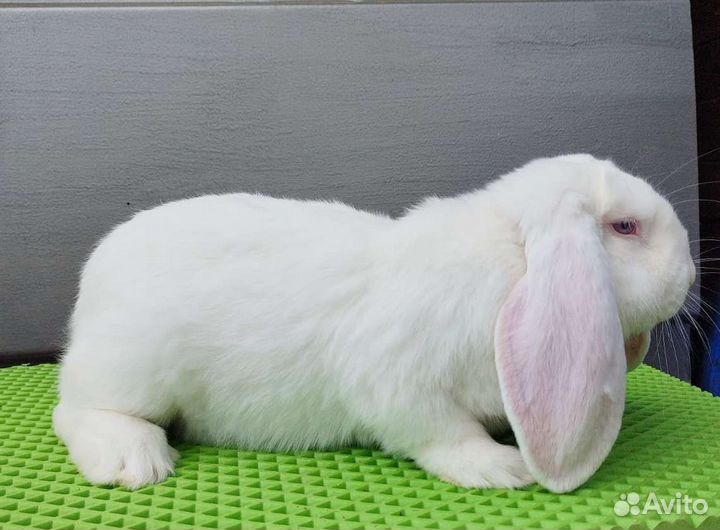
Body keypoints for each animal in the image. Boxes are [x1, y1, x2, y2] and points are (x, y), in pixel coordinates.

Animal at [53, 154, 695, 493]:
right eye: (626, 228)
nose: (689, 273)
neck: (512, 264)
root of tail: (94, 278)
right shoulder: (397, 384)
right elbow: (440, 432)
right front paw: (500, 468)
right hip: (132, 369)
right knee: (74, 411)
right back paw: (133, 460)